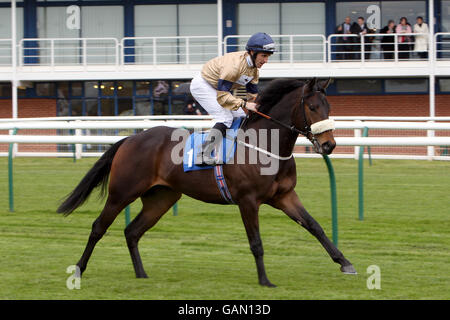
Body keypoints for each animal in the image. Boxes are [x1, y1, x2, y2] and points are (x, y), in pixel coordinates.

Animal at [58, 78, 356, 288]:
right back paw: (78, 270)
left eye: (328, 107)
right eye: (312, 107)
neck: (264, 146)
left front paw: (345, 262)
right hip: (122, 192)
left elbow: (315, 226)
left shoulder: (285, 196)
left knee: (132, 231)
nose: (329, 145)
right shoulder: (248, 201)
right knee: (98, 227)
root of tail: (130, 139)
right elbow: (256, 242)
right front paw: (265, 280)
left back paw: (141, 274)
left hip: (161, 198)